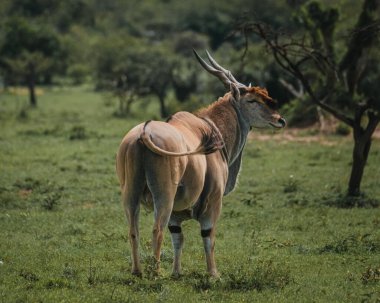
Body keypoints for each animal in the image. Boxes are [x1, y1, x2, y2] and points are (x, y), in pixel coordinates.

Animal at [116, 50, 284, 278]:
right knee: (156, 230)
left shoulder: (176, 215)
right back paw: (156, 273)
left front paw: (176, 273)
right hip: (164, 196)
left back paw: (137, 271)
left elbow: (178, 239)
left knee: (133, 231)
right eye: (252, 100)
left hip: (130, 194)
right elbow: (208, 237)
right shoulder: (213, 202)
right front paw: (214, 274)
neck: (212, 131)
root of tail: (143, 134)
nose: (280, 120)